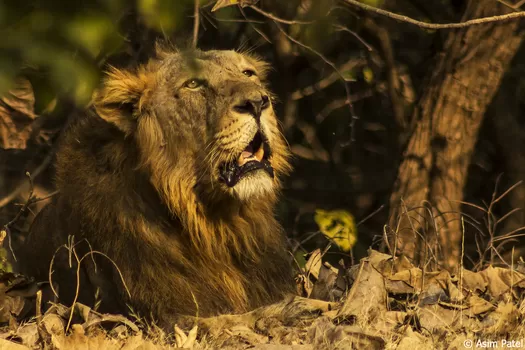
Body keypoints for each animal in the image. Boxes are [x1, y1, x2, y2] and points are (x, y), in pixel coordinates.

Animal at [18, 45, 296, 328]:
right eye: (193, 84)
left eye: (248, 73)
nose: (257, 102)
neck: (217, 226)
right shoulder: (160, 316)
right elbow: (238, 319)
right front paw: (298, 308)